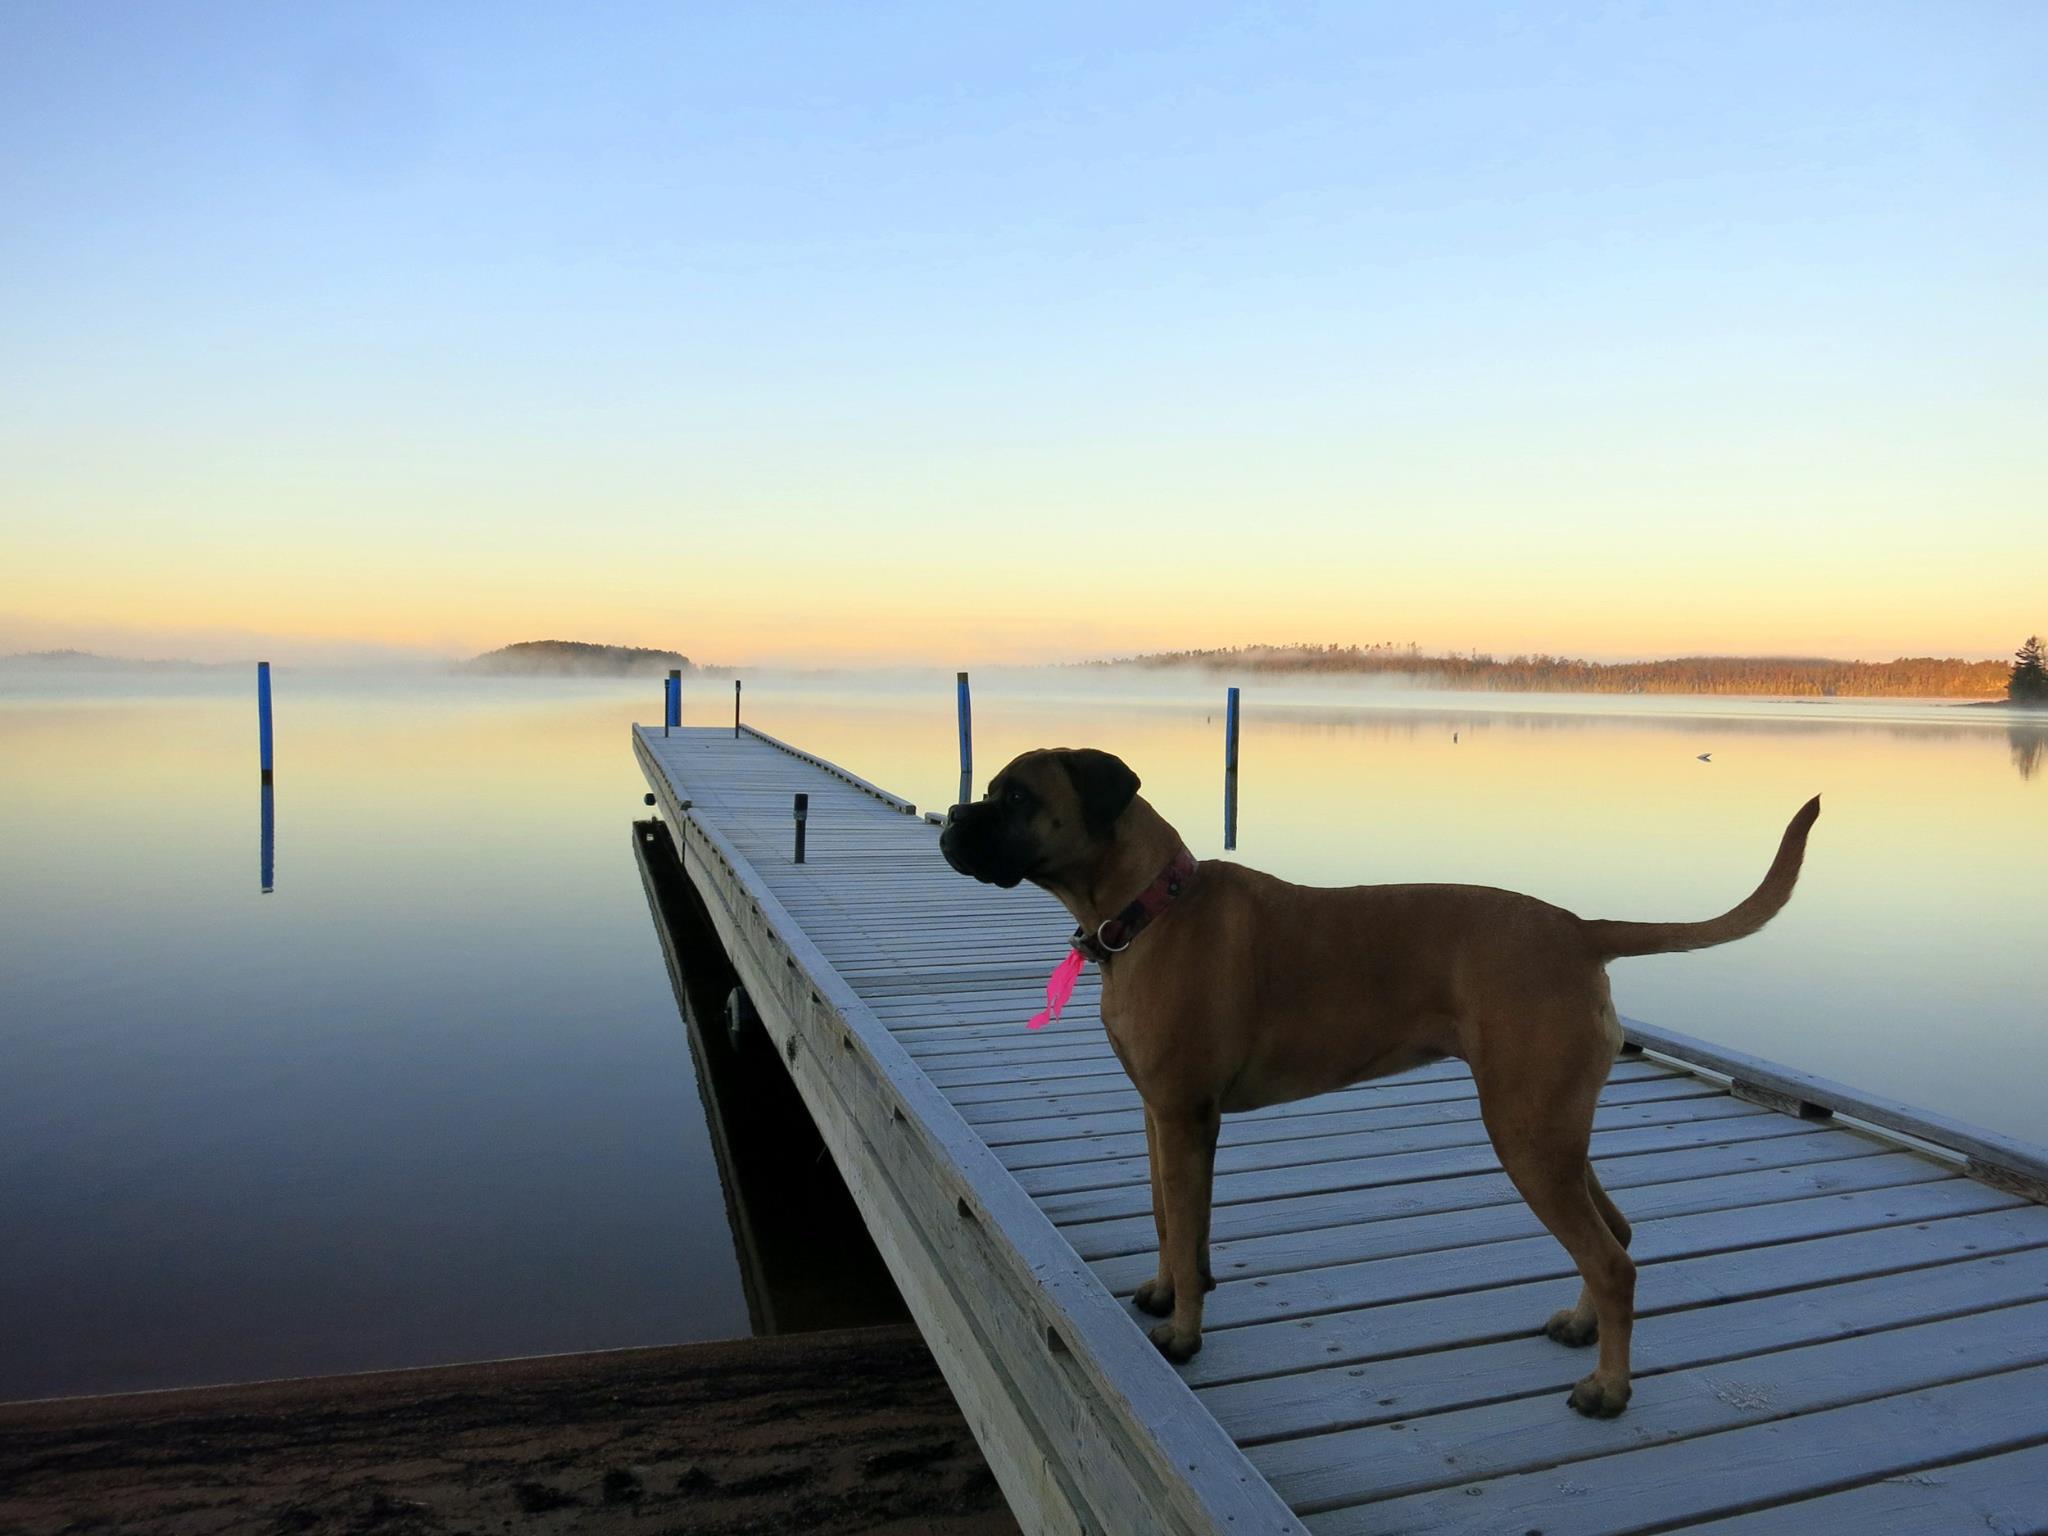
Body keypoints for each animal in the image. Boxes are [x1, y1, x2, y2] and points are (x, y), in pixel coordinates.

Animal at [937, 753, 1818, 1425]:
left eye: (1017, 798)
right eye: (993, 791)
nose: (951, 814)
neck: (1149, 909)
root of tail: (1579, 929)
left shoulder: (1182, 1115)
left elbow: (1183, 1230)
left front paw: (1185, 1334)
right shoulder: (1164, 1115)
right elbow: (1169, 1219)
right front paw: (1165, 1292)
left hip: (1527, 1135)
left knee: (1612, 1260)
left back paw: (1608, 1389)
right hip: (1553, 1128)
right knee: (1617, 1235)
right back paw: (1579, 1325)